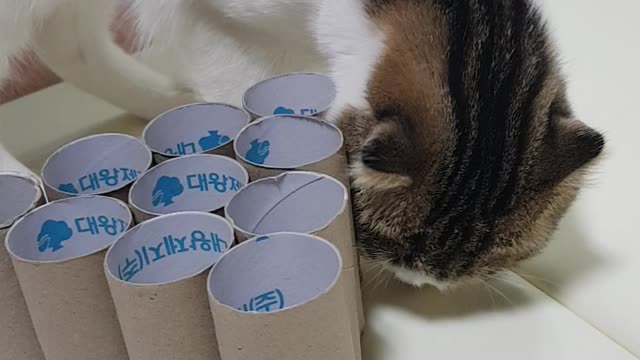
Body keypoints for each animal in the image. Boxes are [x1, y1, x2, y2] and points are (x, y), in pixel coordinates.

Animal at [0, 0, 604, 292]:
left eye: (488, 261)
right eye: (394, 248)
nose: (418, 282)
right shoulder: (216, 25)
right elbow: (243, 93)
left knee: (66, 41)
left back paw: (161, 98)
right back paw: (24, 186)